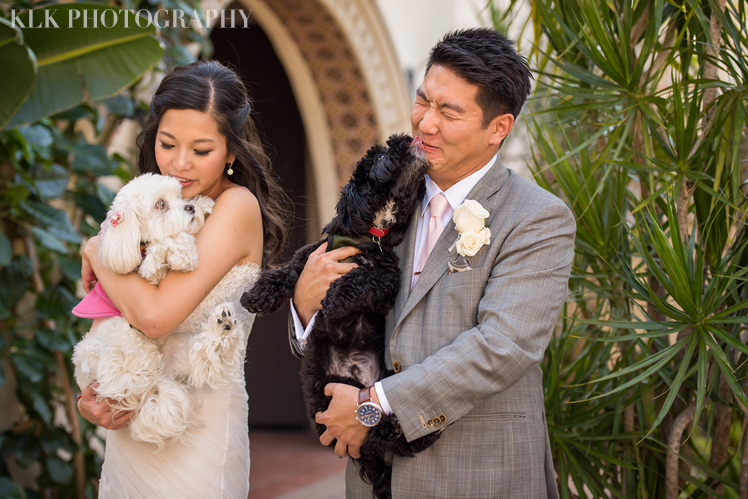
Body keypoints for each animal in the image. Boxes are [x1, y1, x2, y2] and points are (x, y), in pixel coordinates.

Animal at [72, 174, 244, 452]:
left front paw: (203, 203)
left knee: (205, 357)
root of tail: (157, 381)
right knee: (131, 373)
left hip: (180, 351)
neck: (134, 241)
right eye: (160, 204)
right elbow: (164, 246)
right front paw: (182, 251)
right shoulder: (147, 275)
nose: (190, 207)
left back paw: (223, 328)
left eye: (180, 195)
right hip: (103, 353)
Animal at [241, 133, 438, 499]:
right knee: (371, 440)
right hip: (324, 394)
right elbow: (285, 273)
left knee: (373, 436)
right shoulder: (309, 257)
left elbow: (360, 278)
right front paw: (257, 295)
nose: (407, 138)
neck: (365, 236)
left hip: (368, 390)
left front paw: (334, 298)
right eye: (383, 156)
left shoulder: (386, 277)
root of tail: (355, 374)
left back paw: (405, 431)